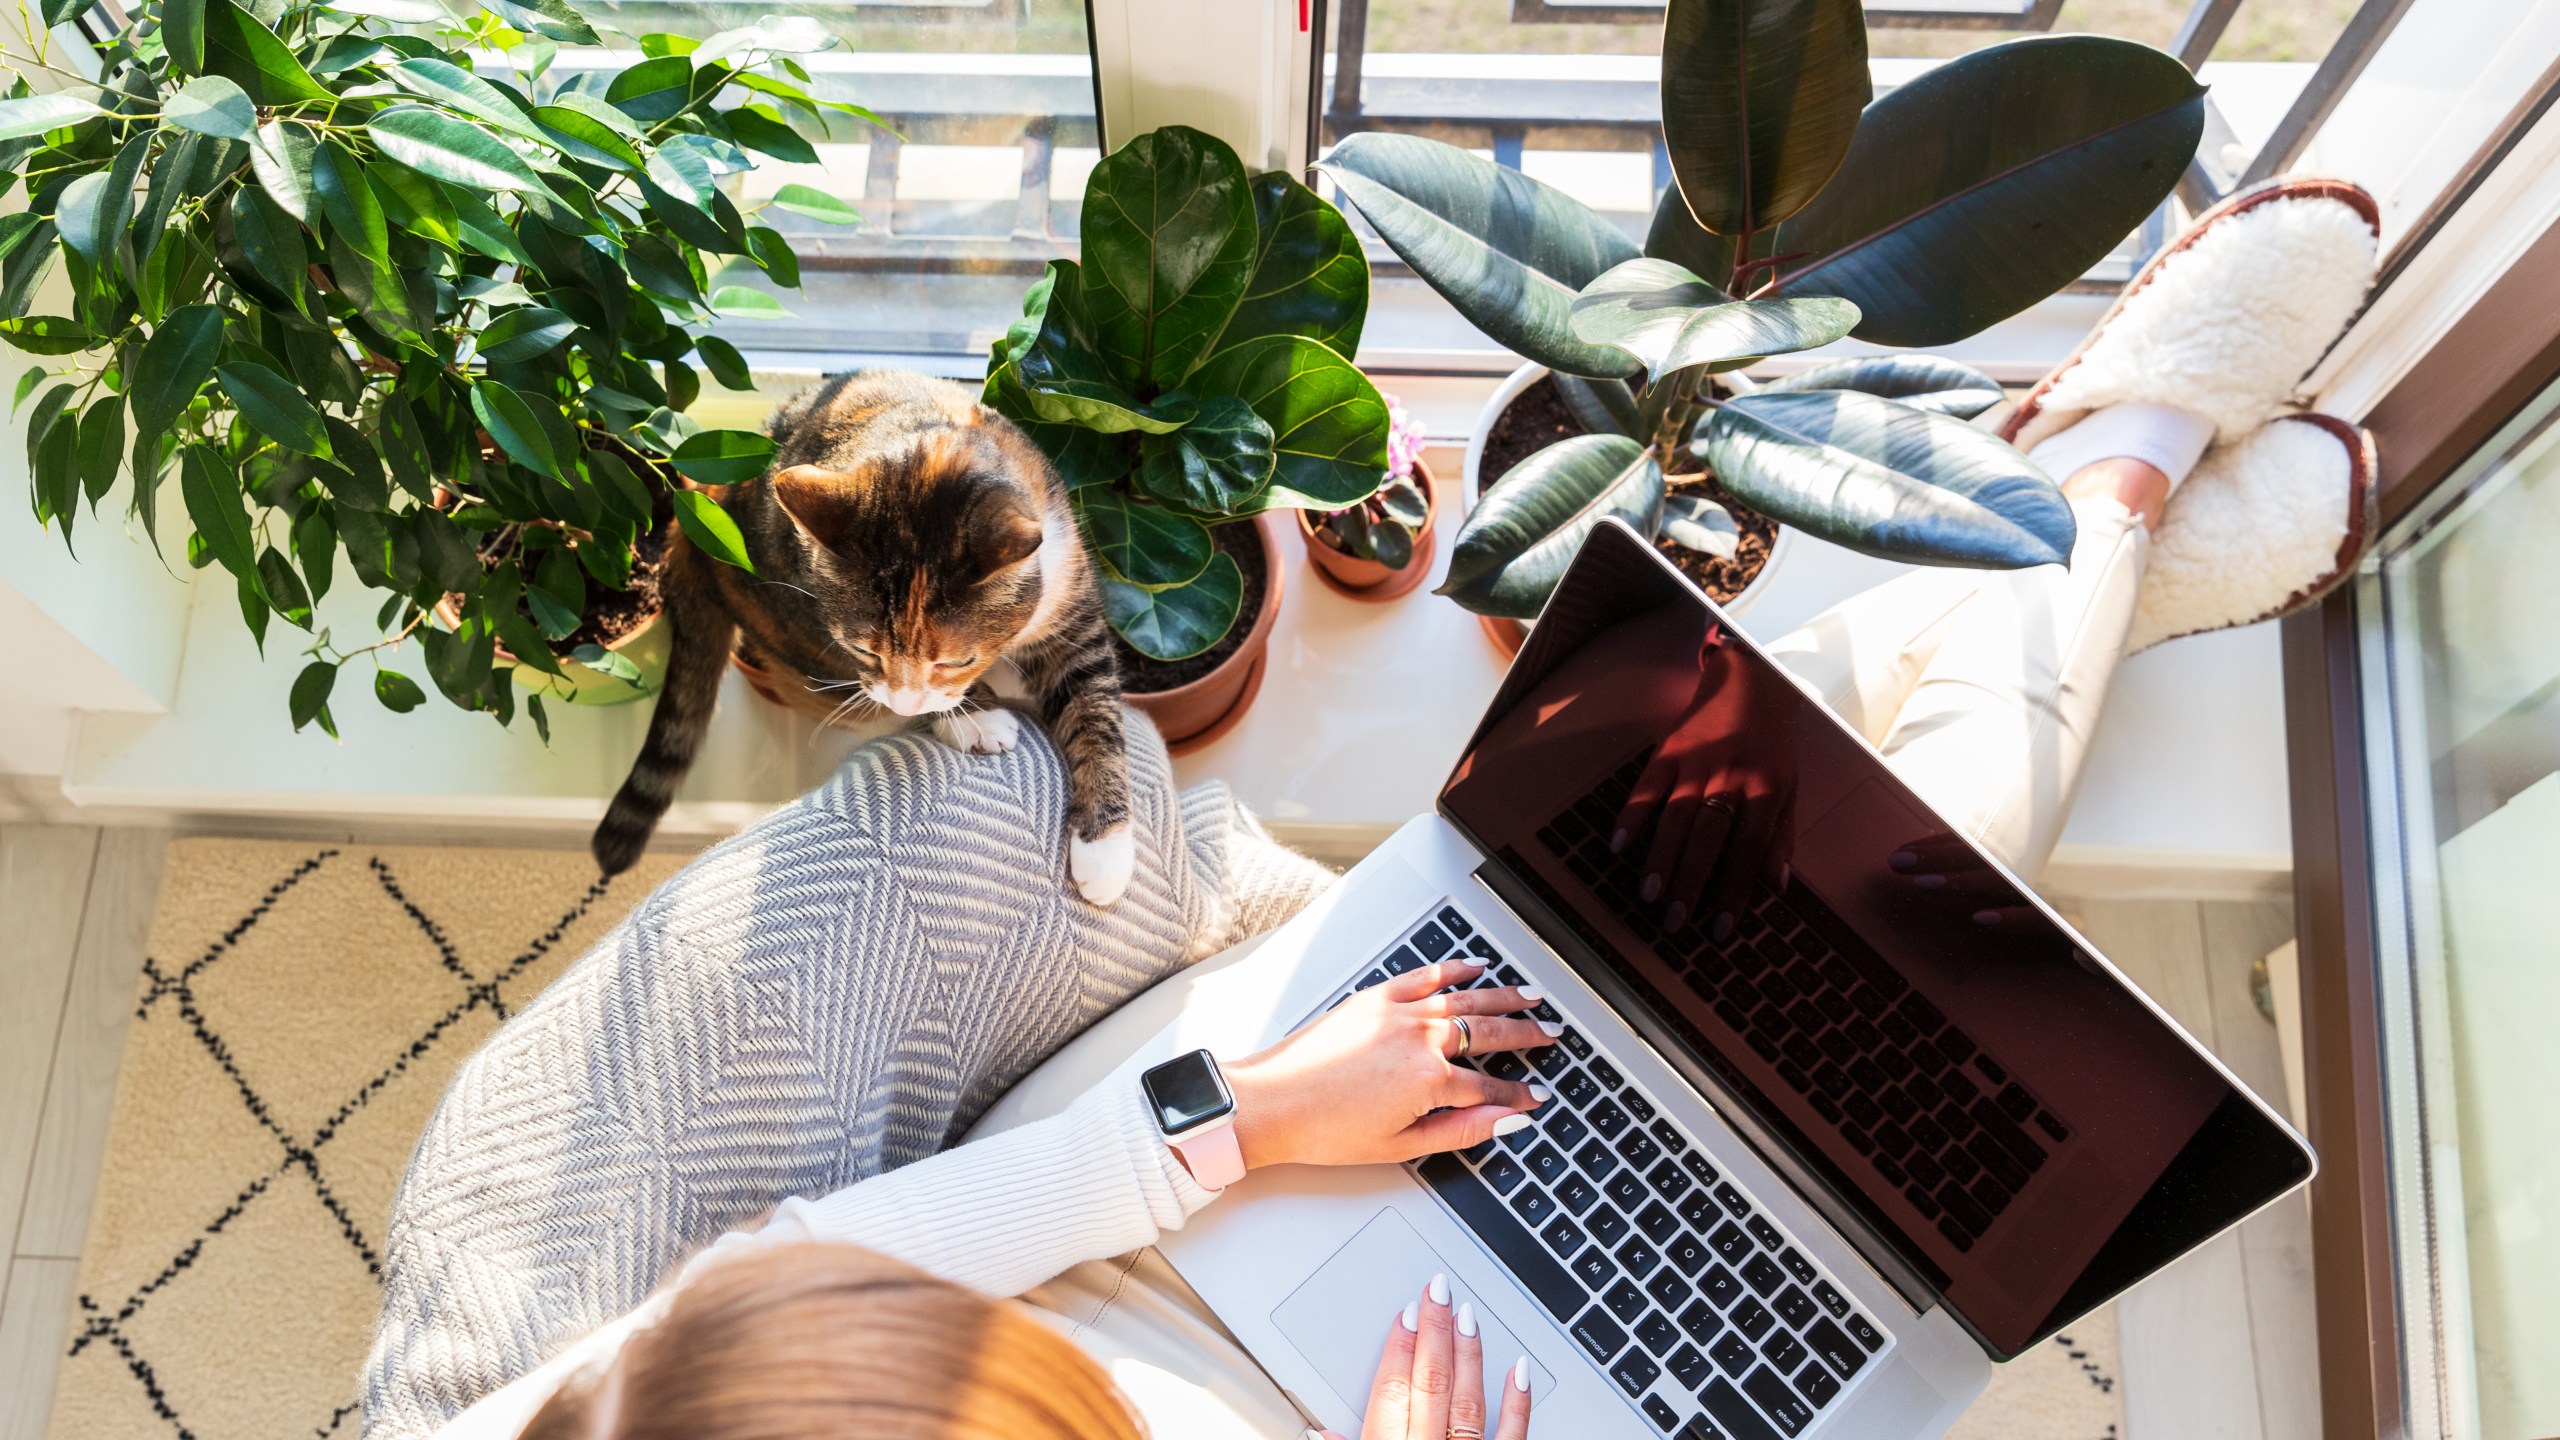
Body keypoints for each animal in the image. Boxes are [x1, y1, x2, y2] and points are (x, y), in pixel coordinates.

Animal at [593, 371, 1136, 907]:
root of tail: (694, 515)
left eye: (955, 662)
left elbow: (1095, 709)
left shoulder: (1072, 607)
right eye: (864, 650)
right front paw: (972, 718)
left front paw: (1105, 847)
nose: (905, 700)